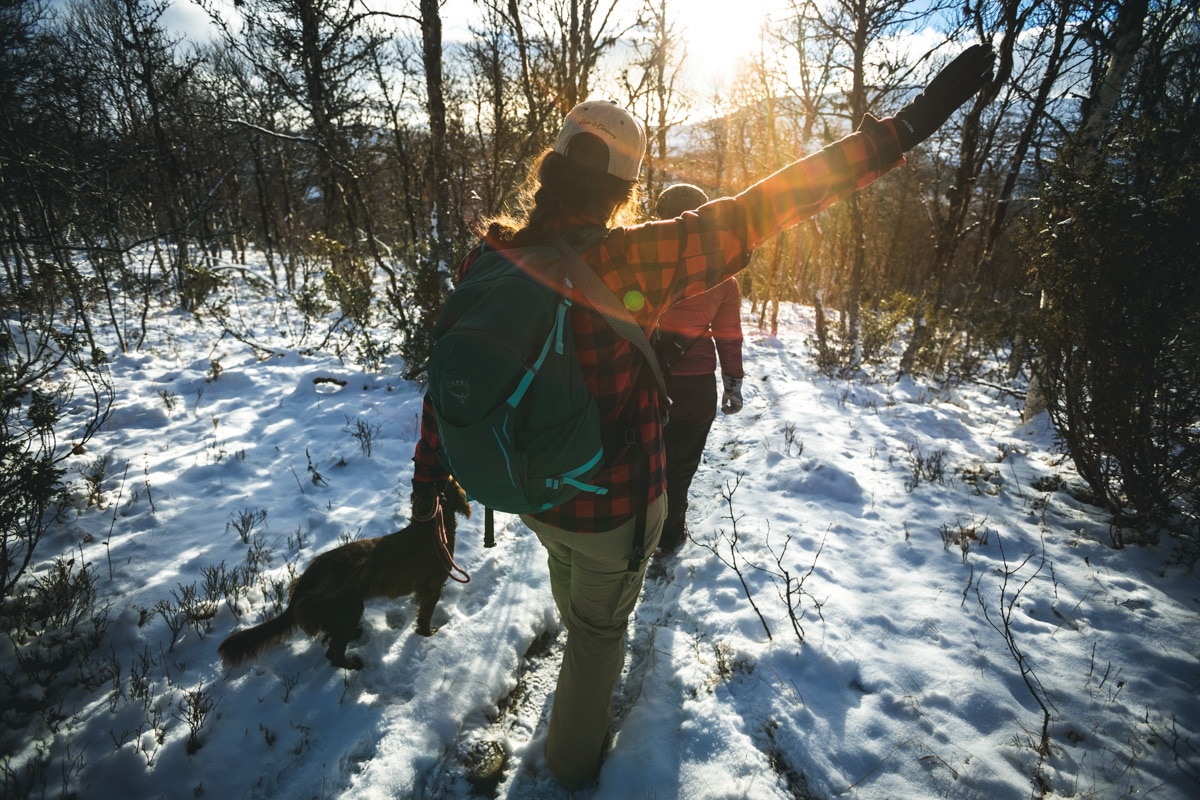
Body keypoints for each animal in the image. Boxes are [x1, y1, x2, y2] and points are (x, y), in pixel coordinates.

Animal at [218, 482, 470, 671]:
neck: (430, 528)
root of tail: (305, 583)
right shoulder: (434, 587)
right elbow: (425, 617)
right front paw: (428, 634)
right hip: (350, 608)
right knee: (333, 653)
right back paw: (352, 664)